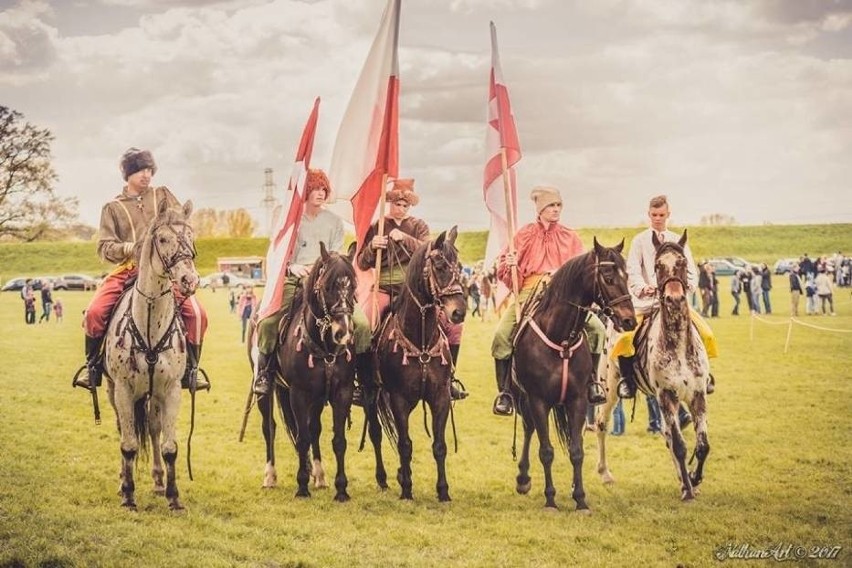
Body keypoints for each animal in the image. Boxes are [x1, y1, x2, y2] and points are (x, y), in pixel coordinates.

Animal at [103, 200, 198, 510]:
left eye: (190, 236)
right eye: (163, 239)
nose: (189, 279)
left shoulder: (171, 390)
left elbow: (169, 446)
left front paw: (173, 496)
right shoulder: (123, 389)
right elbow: (129, 443)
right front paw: (128, 494)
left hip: (154, 394)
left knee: (155, 429)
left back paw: (157, 481)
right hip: (113, 390)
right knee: (123, 429)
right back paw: (123, 481)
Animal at [253, 244, 360, 502]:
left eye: (353, 286)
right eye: (327, 286)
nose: (343, 333)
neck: (324, 346)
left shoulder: (340, 393)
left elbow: (337, 440)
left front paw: (341, 489)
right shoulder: (299, 394)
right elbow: (301, 439)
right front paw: (302, 486)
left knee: (314, 429)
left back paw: (319, 476)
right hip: (266, 391)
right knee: (269, 428)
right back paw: (270, 476)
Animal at [372, 226, 466, 502]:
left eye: (459, 266)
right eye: (439, 265)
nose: (459, 311)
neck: (421, 340)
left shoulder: (440, 397)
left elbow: (439, 445)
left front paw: (443, 491)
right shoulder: (399, 400)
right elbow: (404, 444)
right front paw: (406, 490)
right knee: (376, 434)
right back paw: (384, 478)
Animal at [506, 240, 640, 510]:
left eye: (626, 275)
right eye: (608, 277)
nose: (629, 320)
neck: (560, 337)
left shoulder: (576, 399)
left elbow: (576, 451)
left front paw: (580, 498)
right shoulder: (538, 400)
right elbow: (546, 451)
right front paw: (550, 500)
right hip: (523, 399)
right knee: (528, 429)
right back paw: (523, 478)